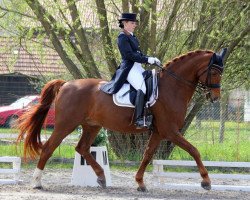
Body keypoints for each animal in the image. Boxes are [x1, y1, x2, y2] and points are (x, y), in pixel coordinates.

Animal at [16, 49, 226, 191]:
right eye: (215, 72)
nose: (215, 97)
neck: (172, 87)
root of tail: (67, 84)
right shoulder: (170, 131)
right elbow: (194, 150)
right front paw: (206, 181)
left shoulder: (159, 132)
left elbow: (147, 155)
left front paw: (140, 182)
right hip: (65, 124)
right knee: (49, 148)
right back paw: (36, 182)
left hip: (91, 126)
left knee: (82, 148)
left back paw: (101, 178)